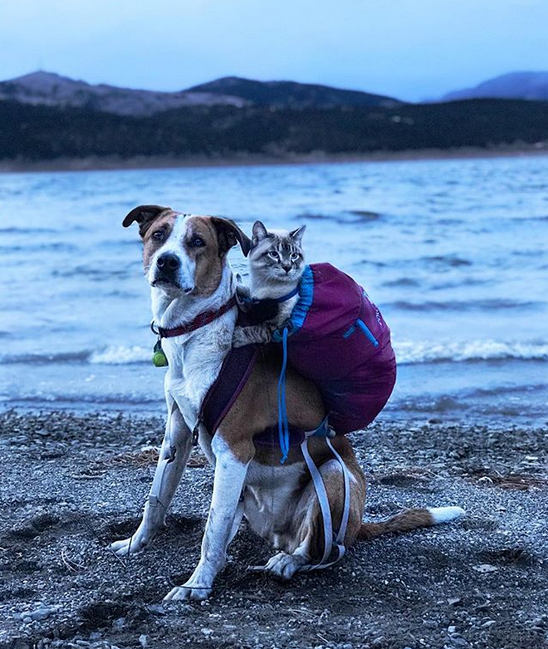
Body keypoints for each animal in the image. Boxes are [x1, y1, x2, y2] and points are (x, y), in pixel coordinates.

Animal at [111, 204, 464, 601]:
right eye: (158, 235)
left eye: (197, 241)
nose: (167, 262)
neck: (195, 329)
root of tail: (359, 525)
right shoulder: (178, 432)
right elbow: (157, 497)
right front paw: (136, 543)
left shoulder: (233, 449)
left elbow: (212, 527)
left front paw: (197, 585)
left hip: (332, 477)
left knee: (319, 549)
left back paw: (288, 562)